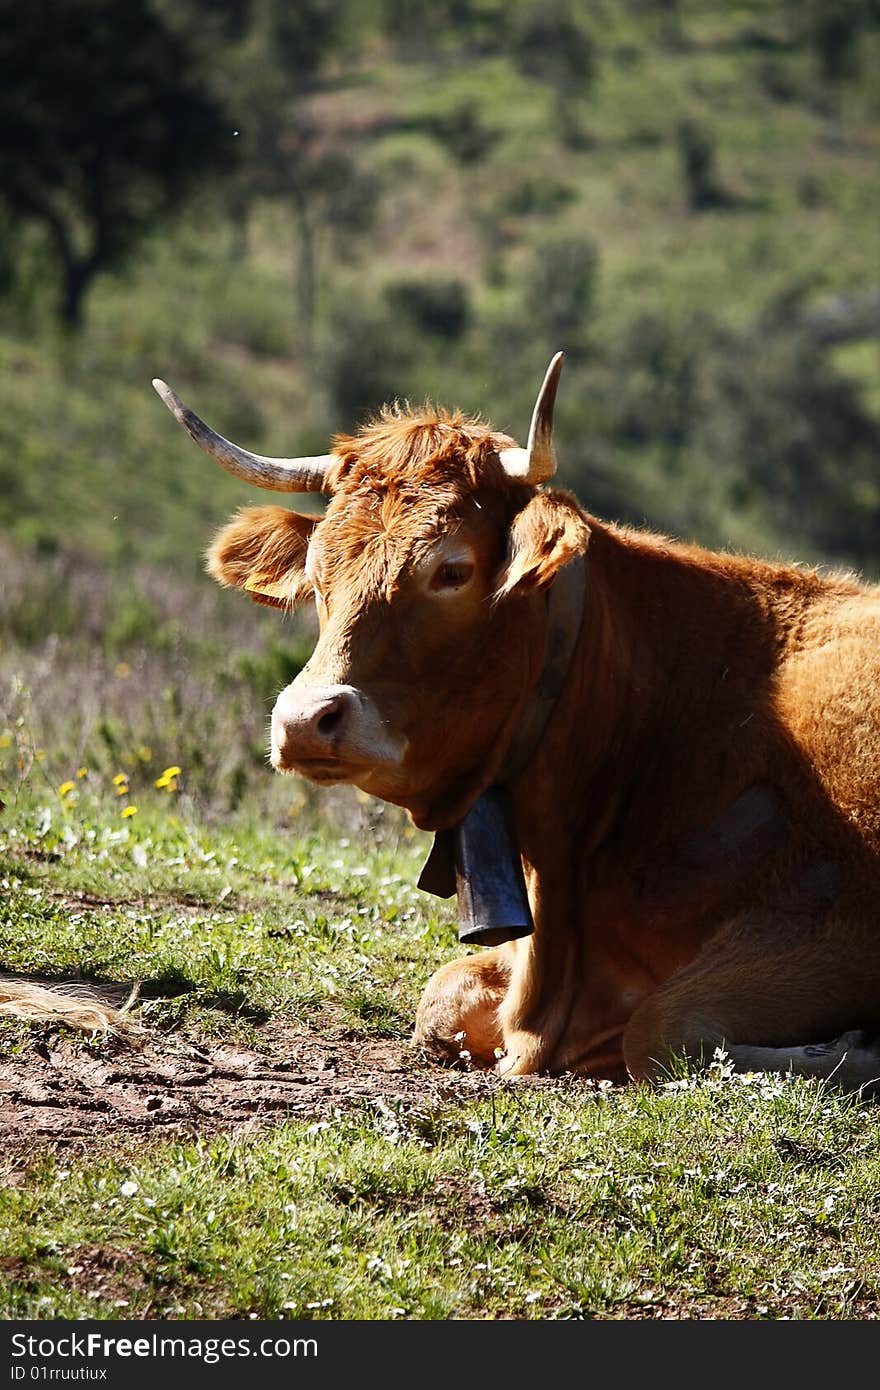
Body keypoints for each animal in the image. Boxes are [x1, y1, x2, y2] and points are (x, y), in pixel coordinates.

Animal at [147, 358, 878, 1095]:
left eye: (452, 570)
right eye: (319, 572)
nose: (303, 721)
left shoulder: (842, 925)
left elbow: (664, 1029)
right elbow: (440, 999)